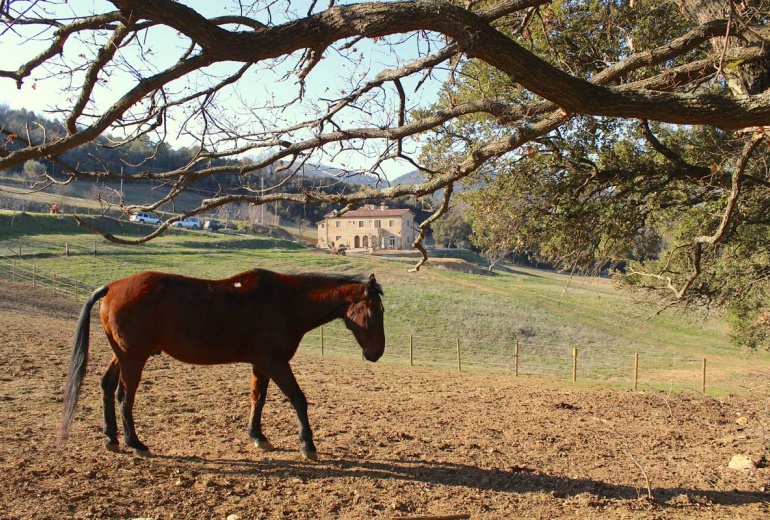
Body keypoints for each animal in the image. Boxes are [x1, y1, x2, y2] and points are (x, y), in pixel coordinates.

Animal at [57, 270, 384, 458]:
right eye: (374, 311)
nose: (376, 353)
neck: (285, 302)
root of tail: (112, 287)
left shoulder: (261, 363)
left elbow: (258, 398)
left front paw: (258, 436)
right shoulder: (276, 362)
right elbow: (297, 399)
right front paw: (307, 444)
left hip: (123, 355)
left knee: (106, 387)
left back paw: (111, 438)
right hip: (134, 358)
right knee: (123, 396)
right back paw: (134, 443)